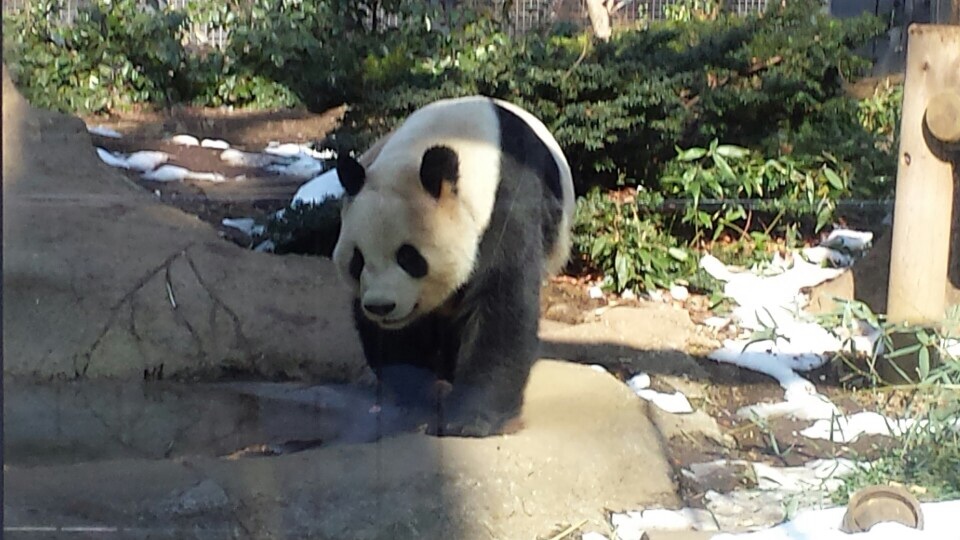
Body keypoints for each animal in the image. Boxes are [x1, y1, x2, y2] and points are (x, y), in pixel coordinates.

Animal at [334, 95, 572, 436]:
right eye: (358, 259)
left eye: (409, 258)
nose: (381, 306)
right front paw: (414, 395)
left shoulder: (507, 205)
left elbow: (501, 302)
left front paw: (471, 418)